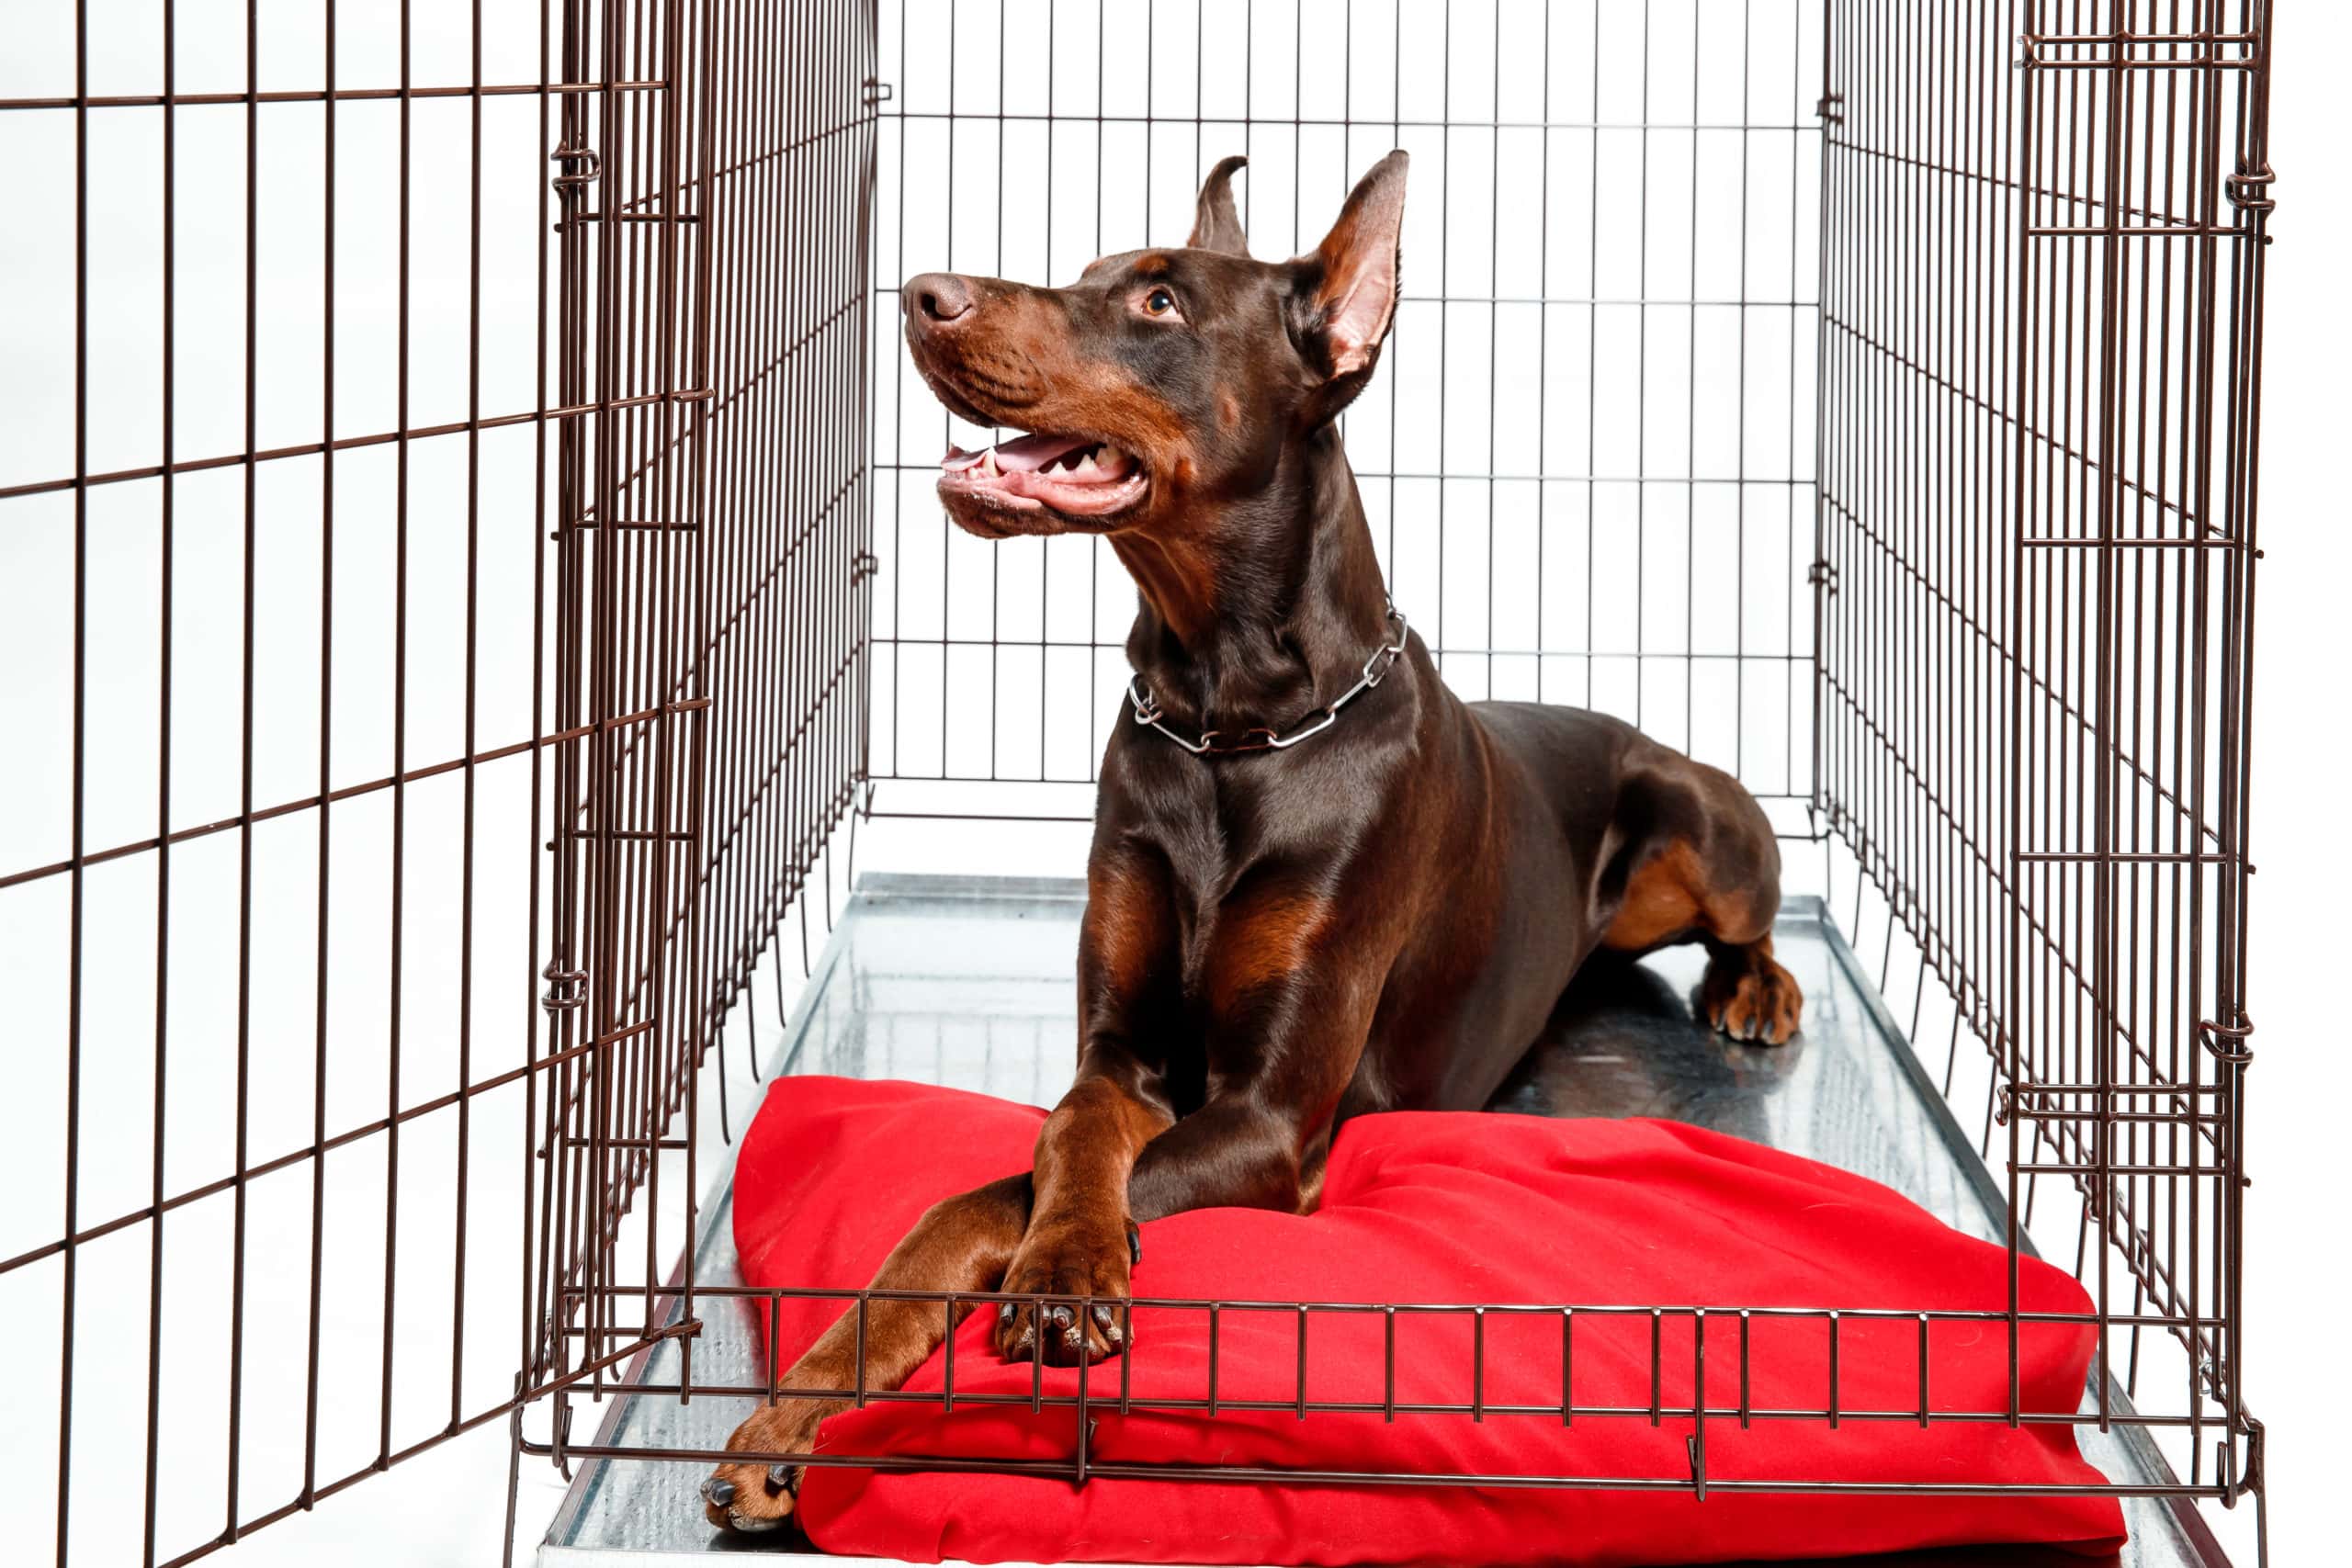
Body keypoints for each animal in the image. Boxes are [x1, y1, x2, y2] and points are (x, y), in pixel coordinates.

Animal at [695, 150, 1796, 1532]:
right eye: (1091, 270)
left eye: (1161, 302)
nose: (920, 290)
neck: (1229, 720)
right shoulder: (1120, 1045)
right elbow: (1045, 1145)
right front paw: (792, 1411)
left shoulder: (1272, 1117)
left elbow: (1022, 1185)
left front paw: (1060, 1272)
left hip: (1696, 824)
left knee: (1757, 905)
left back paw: (1759, 986)